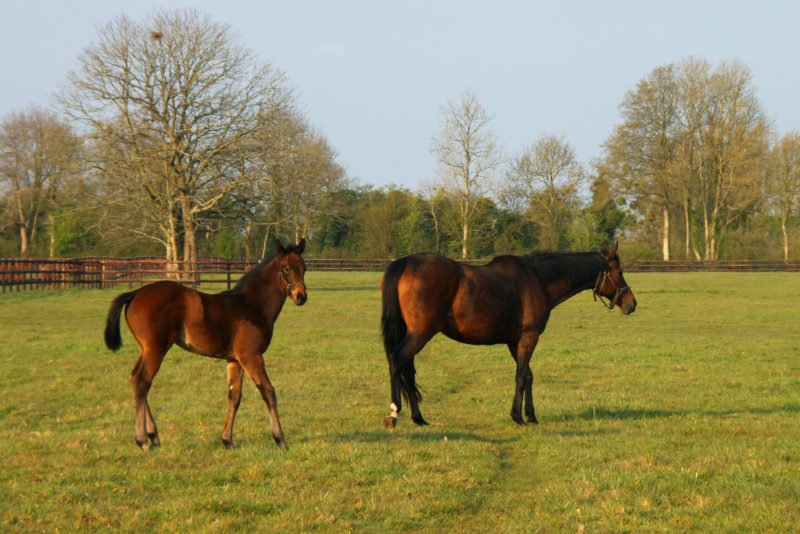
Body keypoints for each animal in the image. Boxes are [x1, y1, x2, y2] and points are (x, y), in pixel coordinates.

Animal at [104, 239, 307, 450]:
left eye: (304, 268)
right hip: (155, 349)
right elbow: (268, 392)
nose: (301, 296)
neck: (251, 305)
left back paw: (153, 435)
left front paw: (227, 440)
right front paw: (280, 439)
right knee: (142, 381)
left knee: (136, 380)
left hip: (146, 350)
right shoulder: (251, 356)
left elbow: (234, 397)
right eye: (286, 268)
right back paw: (143, 438)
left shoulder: (235, 360)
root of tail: (136, 292)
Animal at [380, 242, 636, 429]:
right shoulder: (529, 338)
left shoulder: (515, 342)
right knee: (397, 360)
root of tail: (406, 262)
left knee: (408, 369)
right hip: (420, 333)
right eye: (619, 272)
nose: (631, 304)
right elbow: (521, 376)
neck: (538, 278)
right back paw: (394, 412)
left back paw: (419, 418)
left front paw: (531, 415)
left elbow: (529, 376)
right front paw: (518, 417)